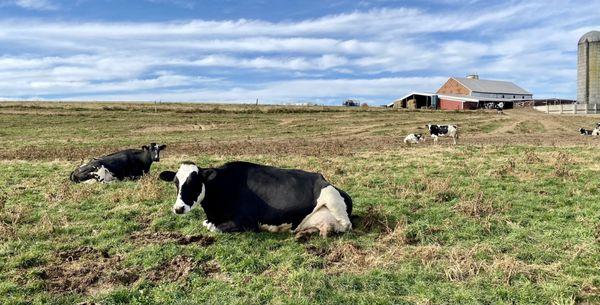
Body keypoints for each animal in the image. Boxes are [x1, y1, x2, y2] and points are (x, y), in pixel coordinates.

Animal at [159, 160, 354, 239]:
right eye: (176, 183)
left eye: (194, 182)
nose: (178, 208)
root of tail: (324, 179)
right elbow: (206, 224)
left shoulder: (248, 223)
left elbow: (214, 228)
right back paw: (307, 232)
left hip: (332, 199)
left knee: (346, 226)